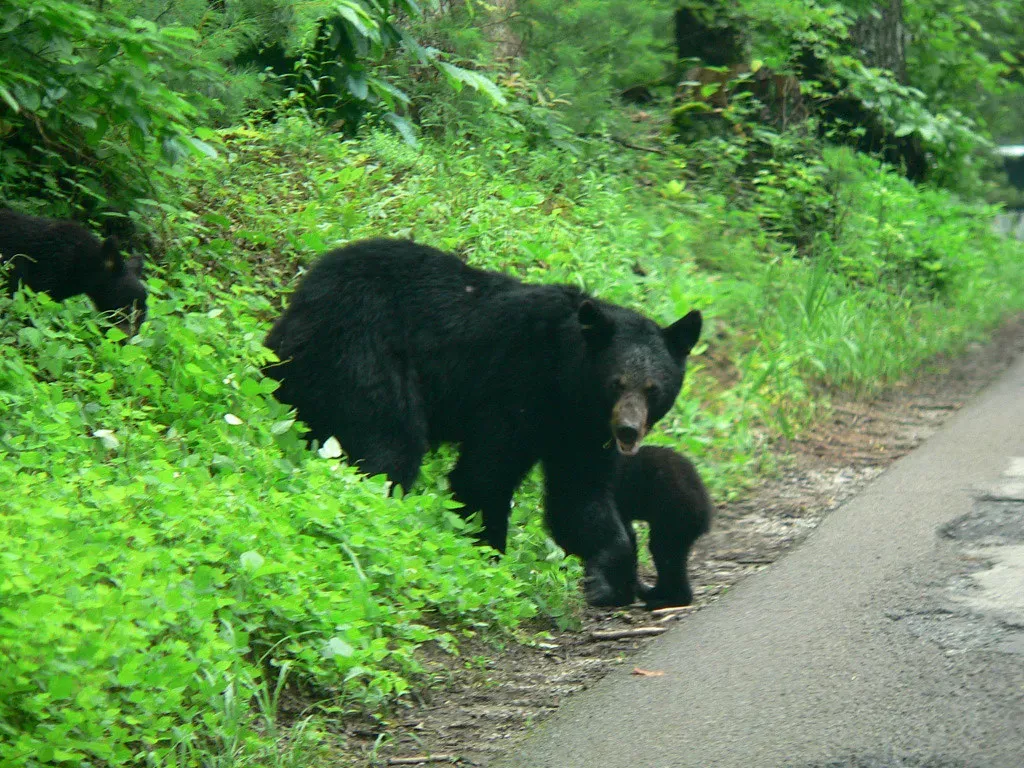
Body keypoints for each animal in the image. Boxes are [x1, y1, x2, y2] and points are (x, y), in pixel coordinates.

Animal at [264, 238, 702, 606]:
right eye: (616, 382)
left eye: (654, 388)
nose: (628, 430)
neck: (566, 381)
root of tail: (301, 300)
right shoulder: (516, 387)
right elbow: (485, 475)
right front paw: (487, 557)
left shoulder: (581, 433)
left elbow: (578, 498)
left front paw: (608, 580)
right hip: (362, 352)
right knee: (389, 445)